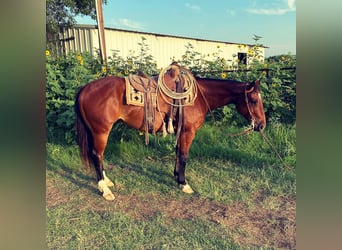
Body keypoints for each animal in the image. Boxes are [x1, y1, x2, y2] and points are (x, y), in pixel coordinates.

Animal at [75, 63, 268, 200]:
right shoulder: (188, 132)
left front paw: (176, 176)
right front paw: (184, 183)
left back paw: (106, 181)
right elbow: (183, 155)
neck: (198, 97)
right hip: (101, 131)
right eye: (252, 100)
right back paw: (105, 189)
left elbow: (177, 152)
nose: (261, 125)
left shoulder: (180, 131)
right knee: (97, 155)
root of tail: (84, 89)